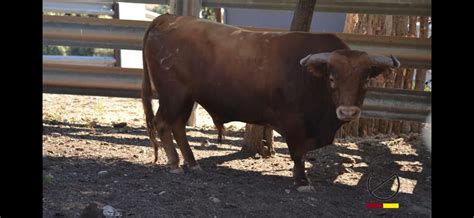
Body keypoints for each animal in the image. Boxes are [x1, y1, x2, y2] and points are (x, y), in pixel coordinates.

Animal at [142, 14, 400, 192]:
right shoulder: (294, 124)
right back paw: (175, 163)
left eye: (365, 80)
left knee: (178, 127)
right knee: (163, 124)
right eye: (332, 78)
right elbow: (298, 154)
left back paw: (192, 162)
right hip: (173, 95)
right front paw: (302, 181)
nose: (348, 112)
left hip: (186, 98)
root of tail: (168, 18)